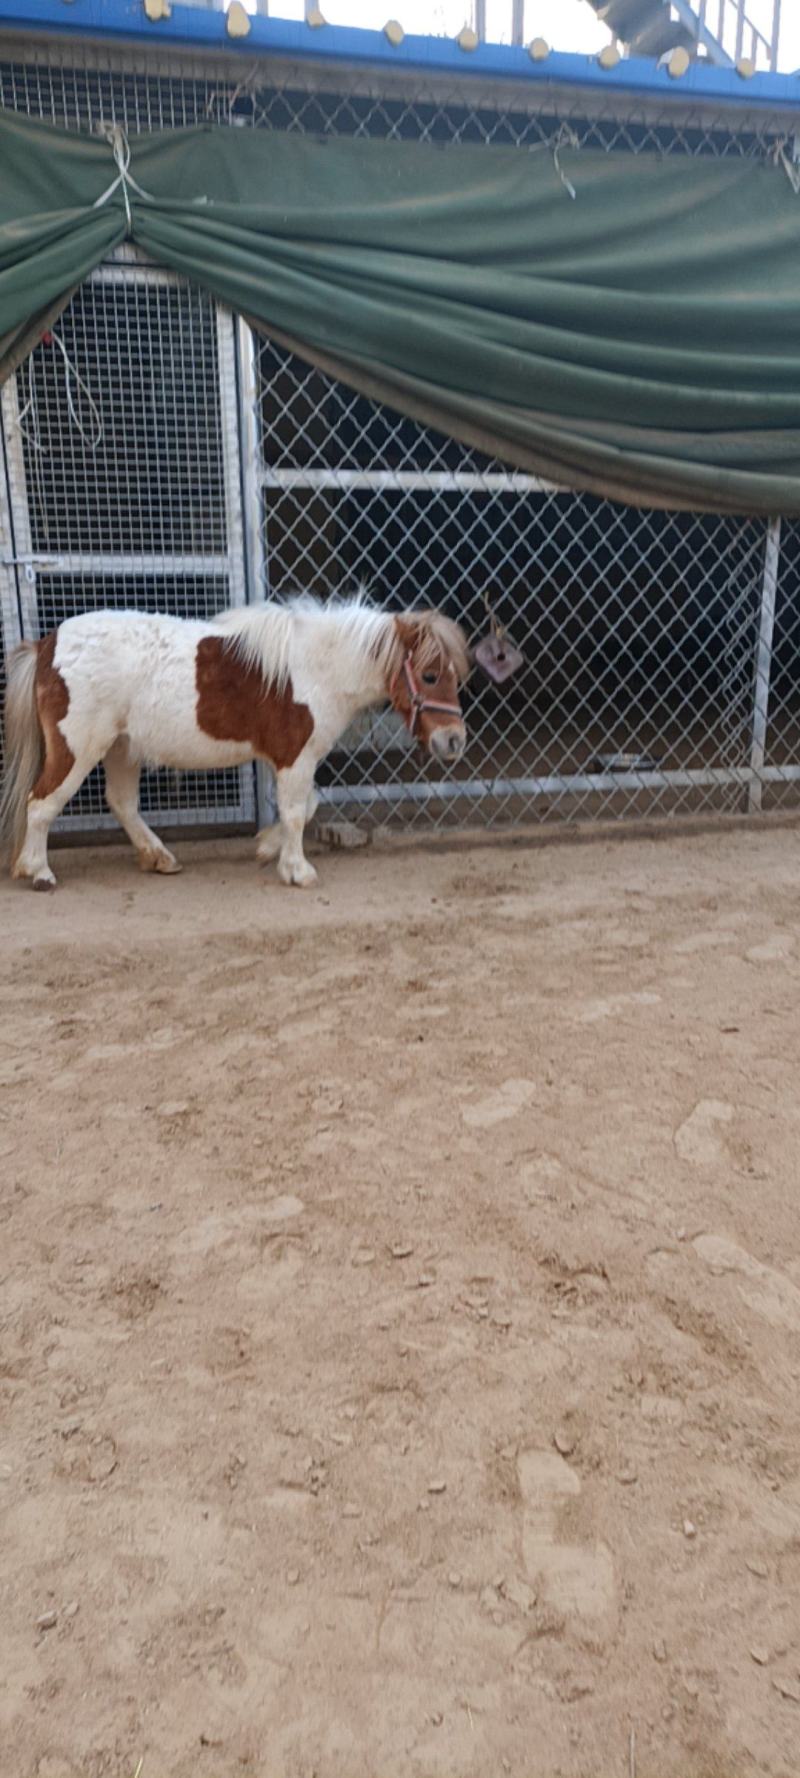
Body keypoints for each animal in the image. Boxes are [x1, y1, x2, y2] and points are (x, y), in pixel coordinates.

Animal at [0, 595, 468, 891]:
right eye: (429, 676)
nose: (453, 741)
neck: (317, 668)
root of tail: (46, 645)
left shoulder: (288, 760)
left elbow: (306, 807)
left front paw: (267, 847)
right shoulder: (296, 758)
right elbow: (297, 812)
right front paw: (296, 869)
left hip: (122, 748)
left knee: (121, 803)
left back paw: (159, 857)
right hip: (79, 748)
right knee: (41, 803)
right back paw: (38, 872)